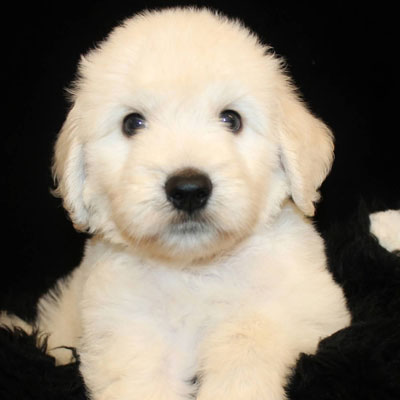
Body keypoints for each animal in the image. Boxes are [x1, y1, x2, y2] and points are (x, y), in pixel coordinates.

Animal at [0, 7, 350, 400]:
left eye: (231, 119)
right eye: (132, 123)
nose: (188, 189)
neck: (194, 270)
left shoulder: (309, 305)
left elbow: (250, 330)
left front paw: (235, 385)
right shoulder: (125, 324)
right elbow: (141, 373)